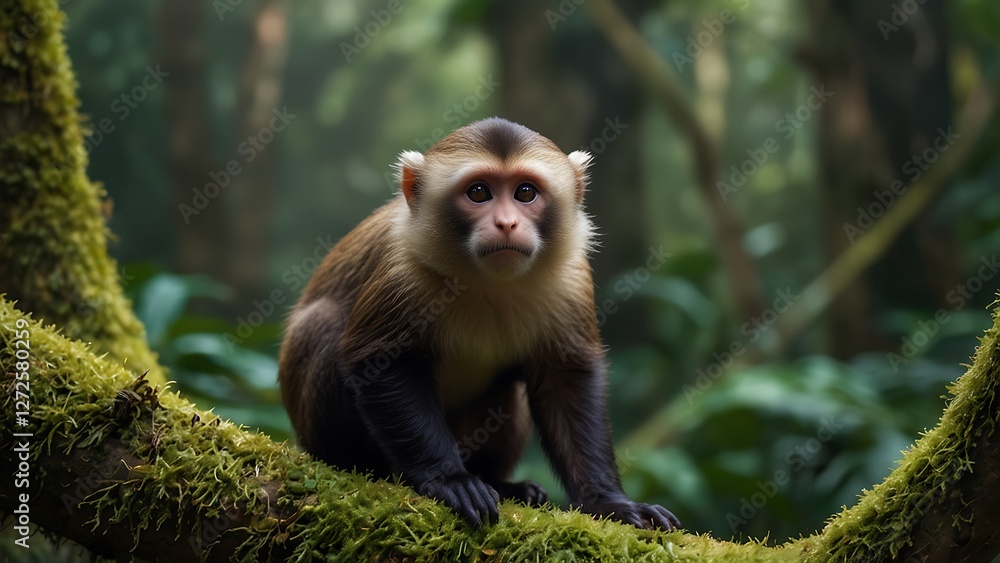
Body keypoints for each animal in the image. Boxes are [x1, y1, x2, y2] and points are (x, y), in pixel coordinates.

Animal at [278, 117, 680, 531]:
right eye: (478, 192)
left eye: (525, 192)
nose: (506, 223)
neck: (488, 283)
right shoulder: (402, 270)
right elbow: (380, 361)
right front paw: (449, 479)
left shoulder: (571, 277)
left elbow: (566, 377)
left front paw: (609, 502)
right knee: (321, 323)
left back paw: (501, 483)